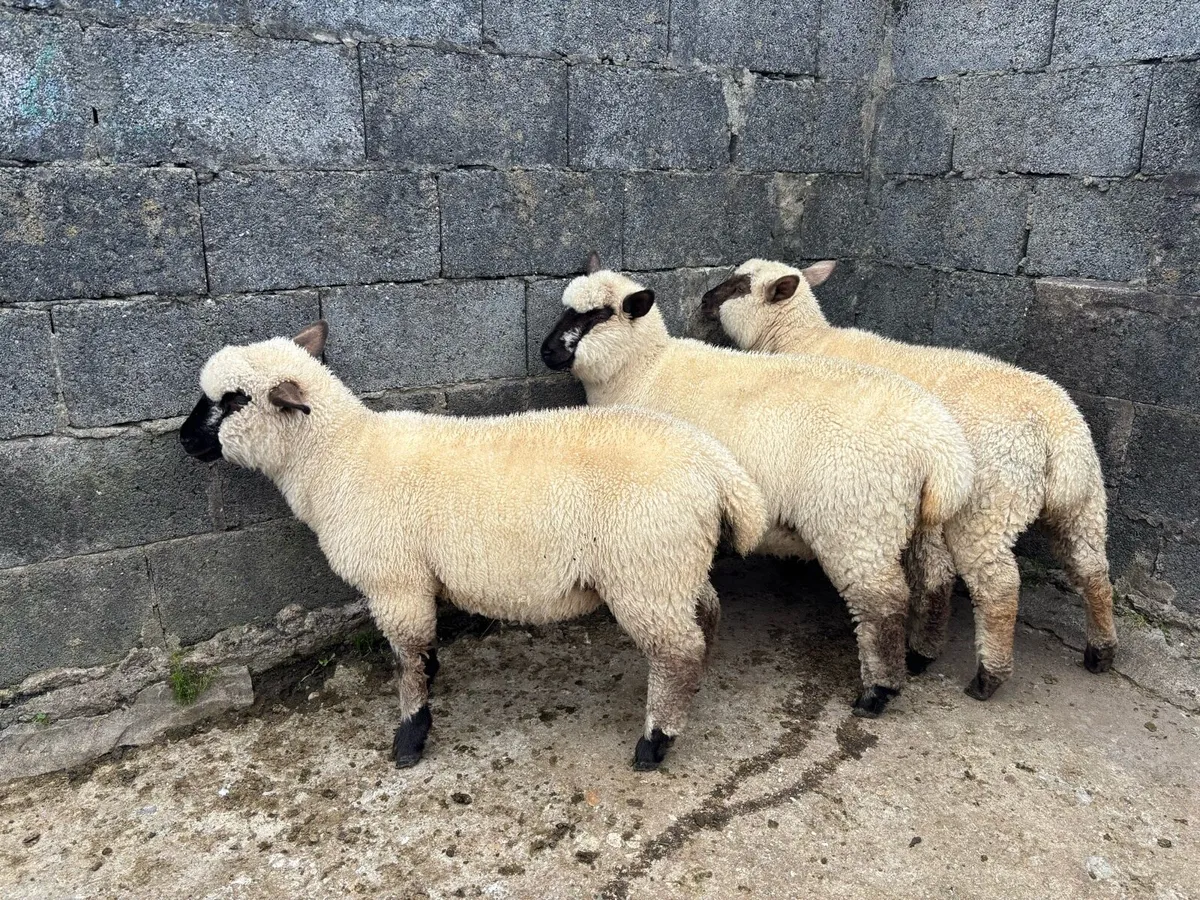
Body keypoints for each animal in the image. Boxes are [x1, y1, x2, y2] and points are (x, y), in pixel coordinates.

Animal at [179, 321, 768, 771]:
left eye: (234, 400)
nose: (184, 440)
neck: (338, 459)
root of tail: (718, 469)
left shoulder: (396, 581)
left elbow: (409, 661)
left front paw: (410, 737)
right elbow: (423, 656)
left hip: (645, 571)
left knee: (677, 652)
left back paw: (655, 742)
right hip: (675, 565)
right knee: (706, 617)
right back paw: (686, 698)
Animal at [541, 256, 976, 717]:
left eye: (598, 315)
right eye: (566, 308)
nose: (546, 351)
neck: (643, 371)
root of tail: (941, 450)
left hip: (857, 523)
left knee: (884, 606)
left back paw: (878, 693)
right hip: (918, 518)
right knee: (936, 580)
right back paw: (920, 655)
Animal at [702, 258, 1118, 700]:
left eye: (738, 287)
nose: (704, 299)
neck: (802, 339)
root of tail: (1058, 432)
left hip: (988, 507)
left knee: (999, 587)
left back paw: (986, 677)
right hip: (1084, 502)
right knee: (1091, 568)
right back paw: (1100, 652)